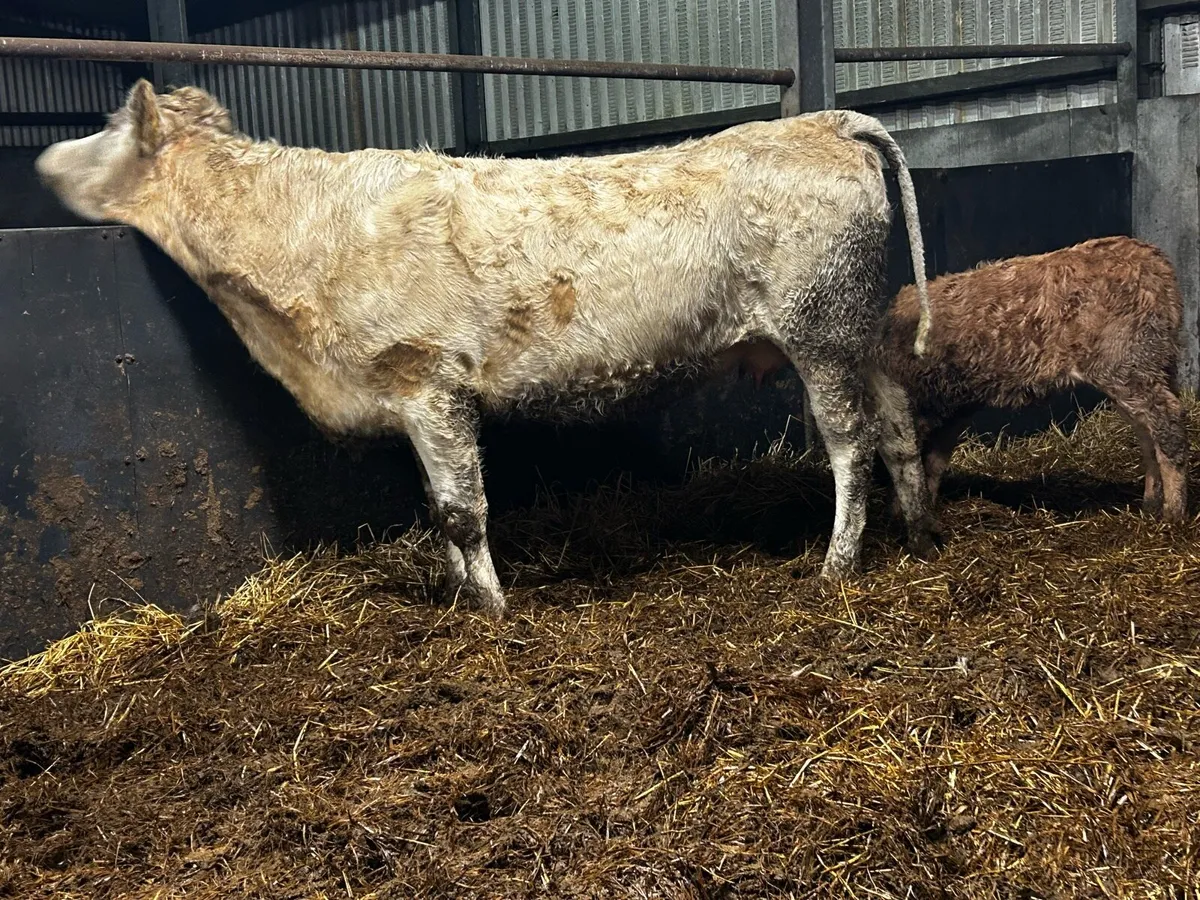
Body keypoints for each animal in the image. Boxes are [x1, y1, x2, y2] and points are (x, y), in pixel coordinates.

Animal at [35, 79, 939, 616]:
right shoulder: (407, 398)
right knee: (897, 419)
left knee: (849, 442)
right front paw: (461, 598)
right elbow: (438, 510)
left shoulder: (430, 381)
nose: (43, 161)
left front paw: (494, 613)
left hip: (820, 332)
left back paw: (838, 563)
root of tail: (824, 119)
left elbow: (464, 510)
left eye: (108, 131)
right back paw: (921, 530)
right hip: (856, 327)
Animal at [880, 236, 1190, 522]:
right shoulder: (950, 407)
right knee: (1147, 433)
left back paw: (1174, 512)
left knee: (1167, 420)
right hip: (1147, 366)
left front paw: (901, 513)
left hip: (1127, 362)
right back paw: (1151, 503)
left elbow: (910, 460)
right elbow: (932, 462)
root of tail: (1154, 260)